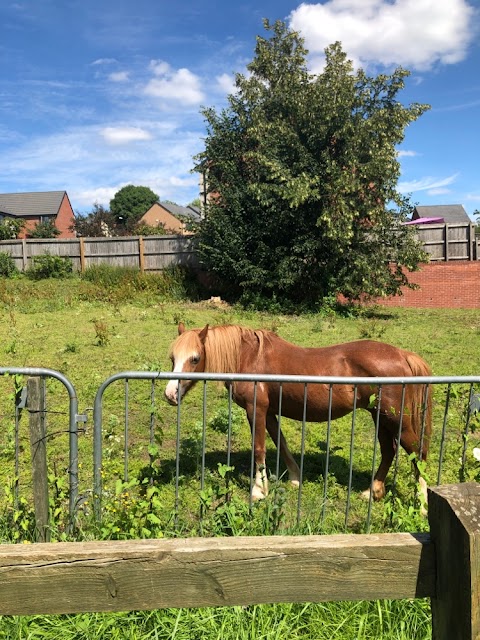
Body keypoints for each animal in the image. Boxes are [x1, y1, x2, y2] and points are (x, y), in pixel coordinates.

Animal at [165, 324, 432, 504]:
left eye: (195, 358)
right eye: (172, 358)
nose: (170, 394)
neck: (249, 358)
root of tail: (402, 355)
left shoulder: (256, 409)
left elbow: (259, 449)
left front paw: (258, 490)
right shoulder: (270, 412)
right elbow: (281, 443)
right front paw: (295, 477)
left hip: (395, 419)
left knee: (416, 453)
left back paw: (422, 503)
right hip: (380, 417)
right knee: (389, 451)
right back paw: (372, 491)